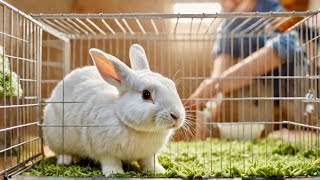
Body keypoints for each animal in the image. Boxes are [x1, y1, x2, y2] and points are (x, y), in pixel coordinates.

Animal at [42, 44, 185, 176]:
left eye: (172, 85)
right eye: (146, 94)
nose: (177, 116)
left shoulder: (149, 154)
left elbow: (149, 162)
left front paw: (159, 171)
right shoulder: (104, 151)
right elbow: (111, 161)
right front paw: (114, 173)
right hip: (56, 138)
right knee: (61, 153)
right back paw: (67, 160)